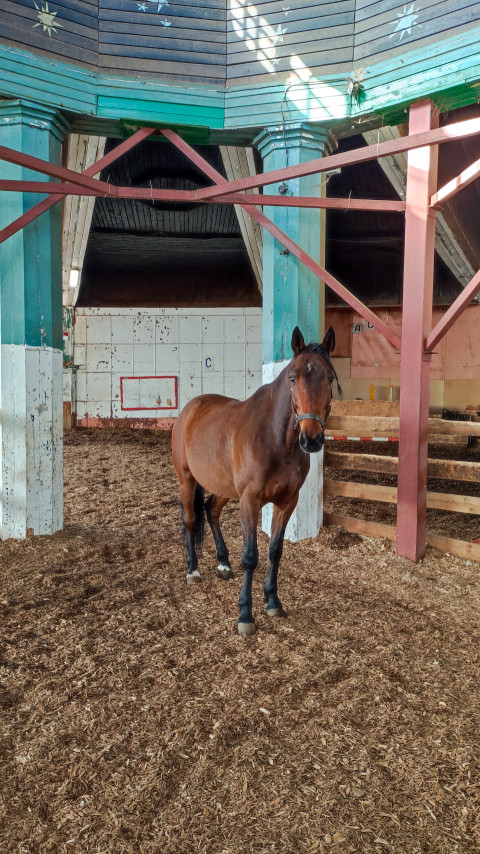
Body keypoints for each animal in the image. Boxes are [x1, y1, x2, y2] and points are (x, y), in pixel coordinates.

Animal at [171, 325, 340, 635]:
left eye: (330, 378)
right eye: (293, 377)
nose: (311, 439)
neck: (276, 439)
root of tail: (190, 408)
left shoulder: (287, 501)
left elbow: (275, 551)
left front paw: (272, 601)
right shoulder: (250, 500)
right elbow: (251, 556)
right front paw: (245, 614)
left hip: (224, 487)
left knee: (211, 511)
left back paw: (224, 564)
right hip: (187, 481)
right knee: (190, 520)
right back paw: (193, 569)